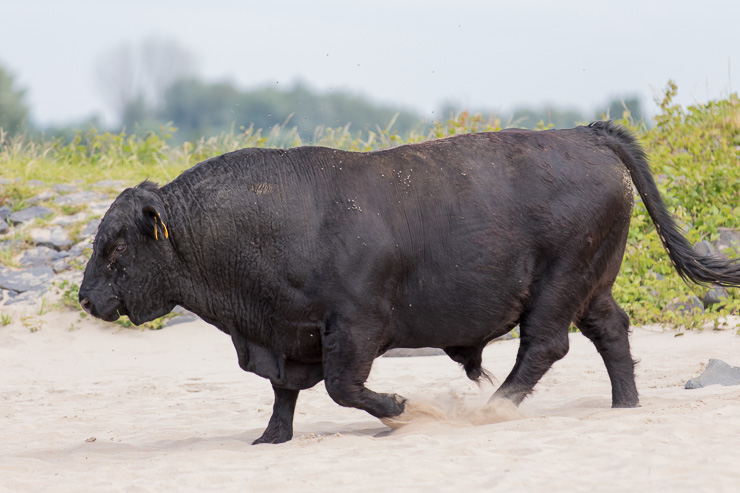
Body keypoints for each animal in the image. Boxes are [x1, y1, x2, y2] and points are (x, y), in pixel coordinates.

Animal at [79, 122, 740, 442]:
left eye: (116, 246)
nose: (86, 298)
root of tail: (583, 133)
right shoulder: (288, 336)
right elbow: (285, 391)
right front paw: (269, 439)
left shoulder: (354, 327)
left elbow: (343, 387)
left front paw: (400, 408)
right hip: (591, 287)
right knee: (612, 333)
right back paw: (623, 405)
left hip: (559, 286)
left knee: (544, 346)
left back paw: (491, 410)